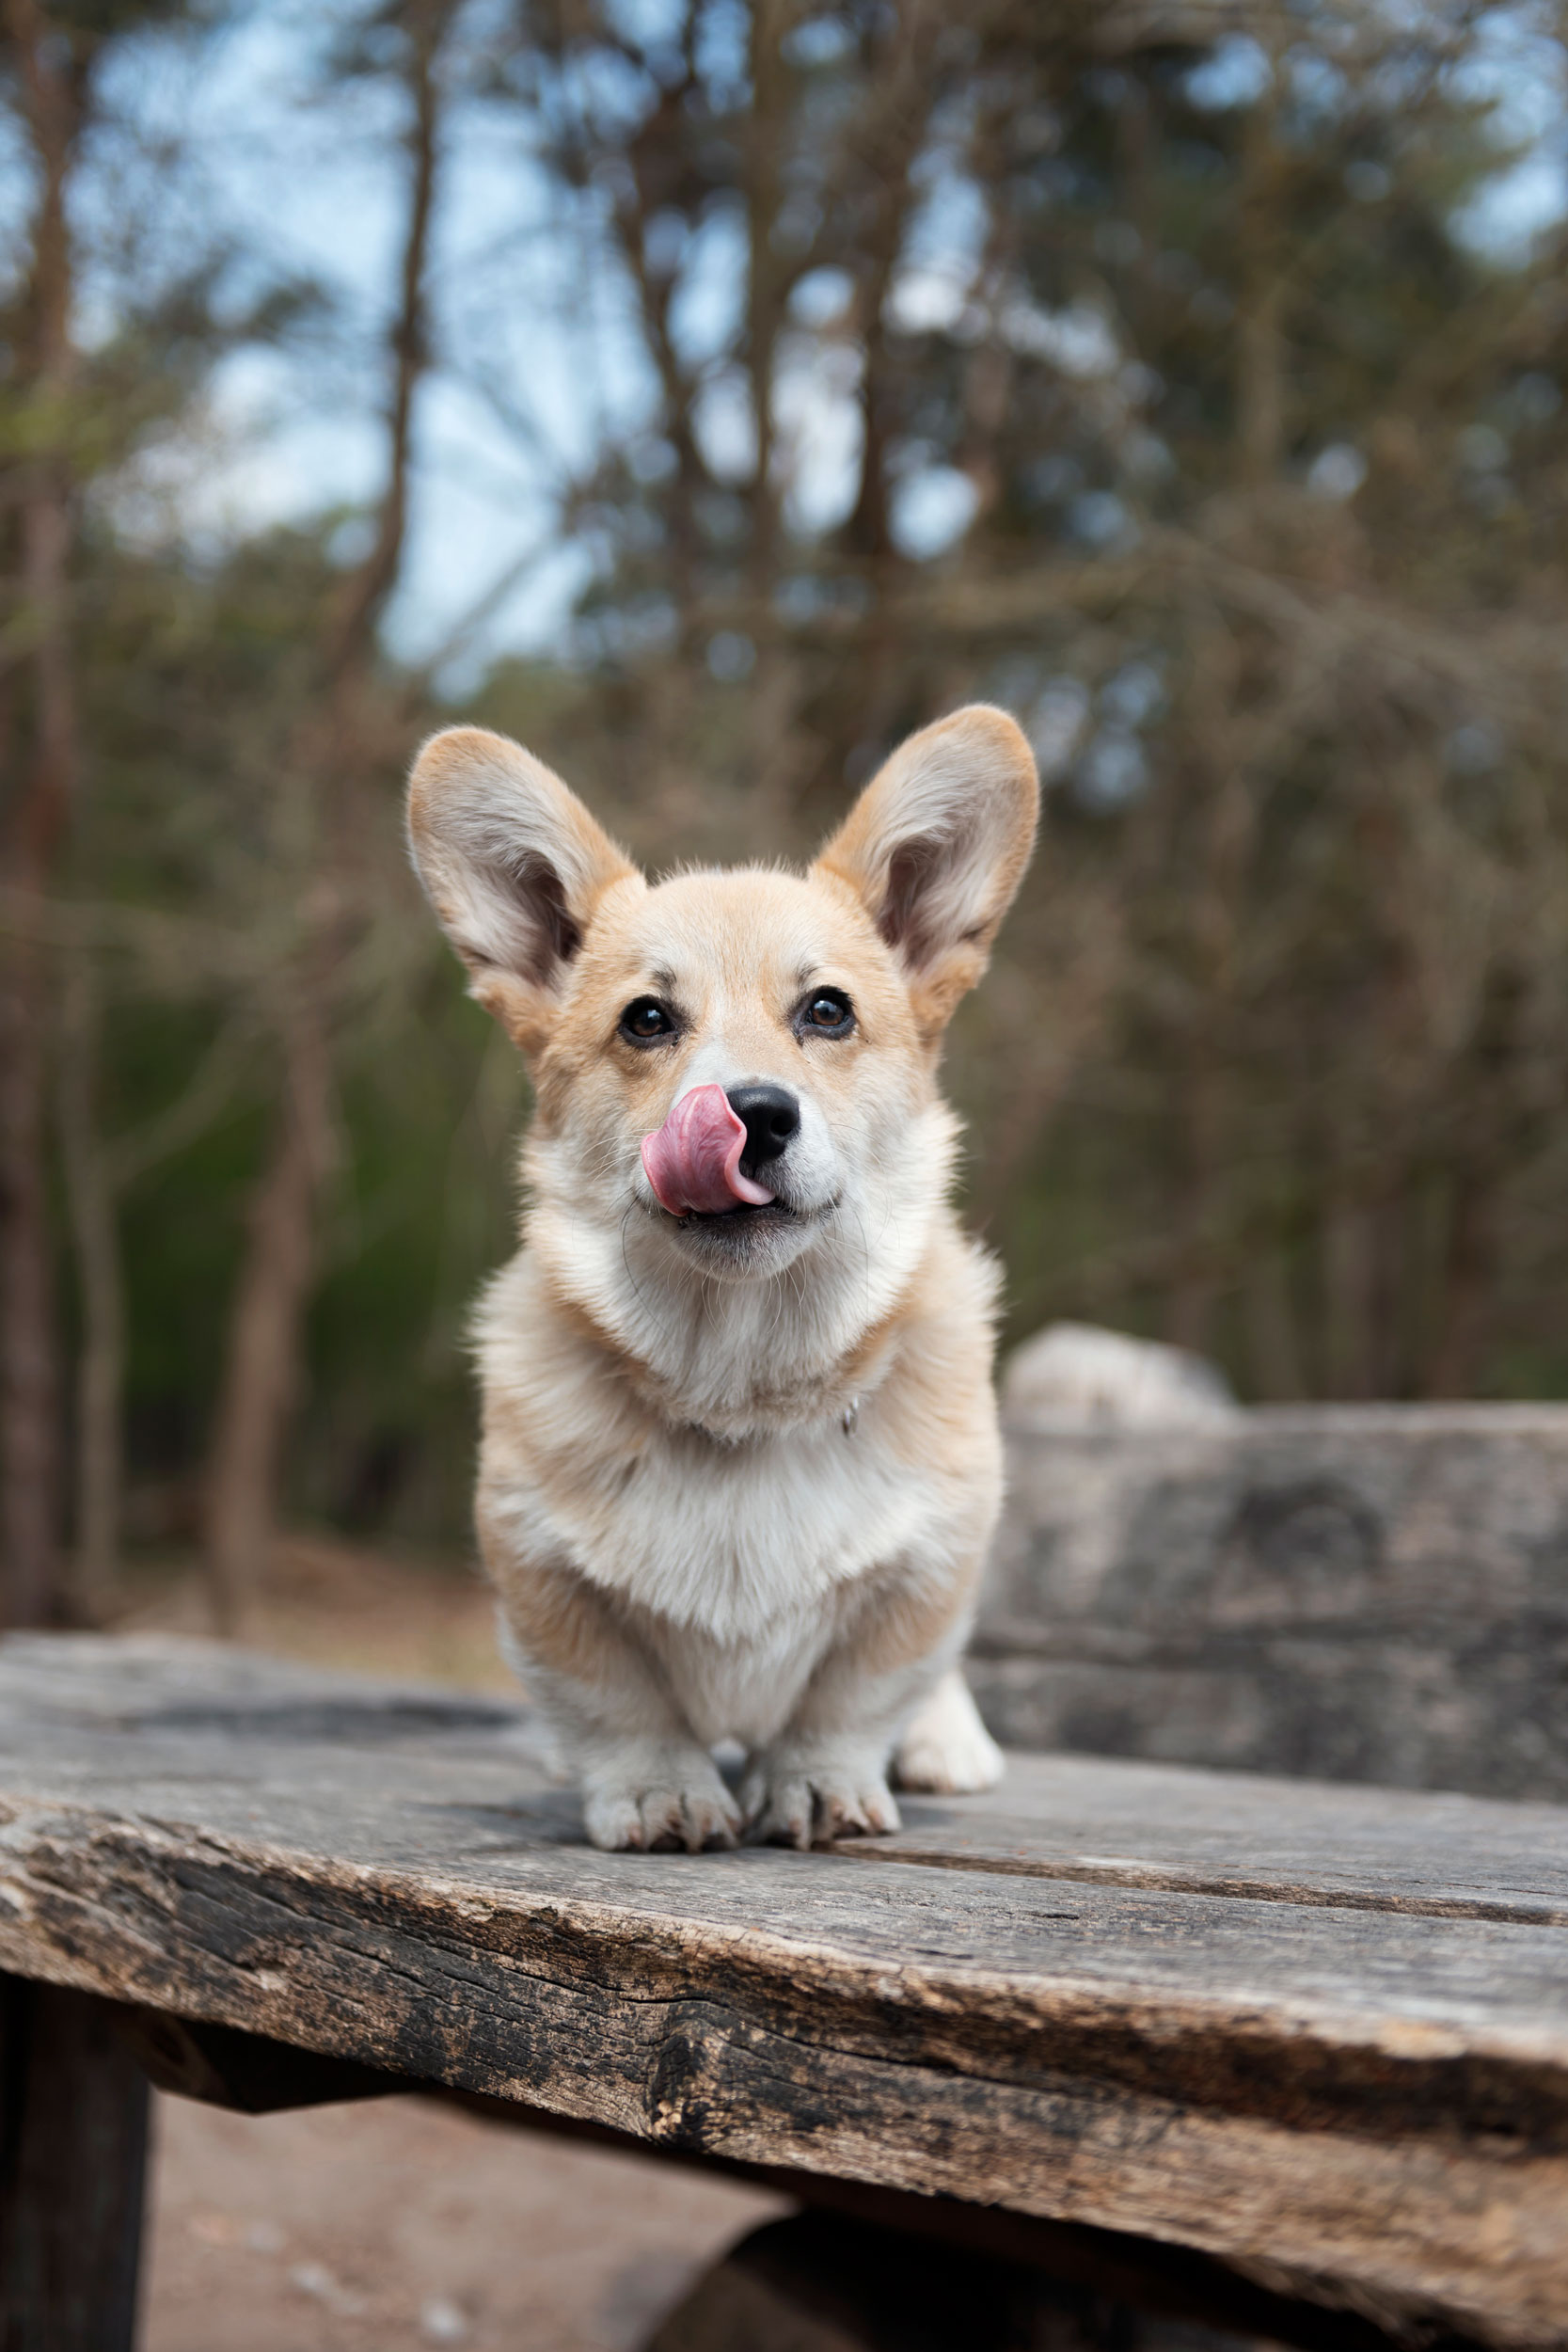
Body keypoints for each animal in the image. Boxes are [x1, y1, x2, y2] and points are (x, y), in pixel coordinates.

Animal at [411, 706, 1034, 1844]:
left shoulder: (926, 1569)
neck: (739, 1387)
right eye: (647, 1020)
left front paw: (820, 1787)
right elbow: (619, 1703)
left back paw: (946, 1743)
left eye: (827, 1011)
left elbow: (853, 1694)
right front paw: (661, 1793)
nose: (754, 1114)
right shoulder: (541, 1575)